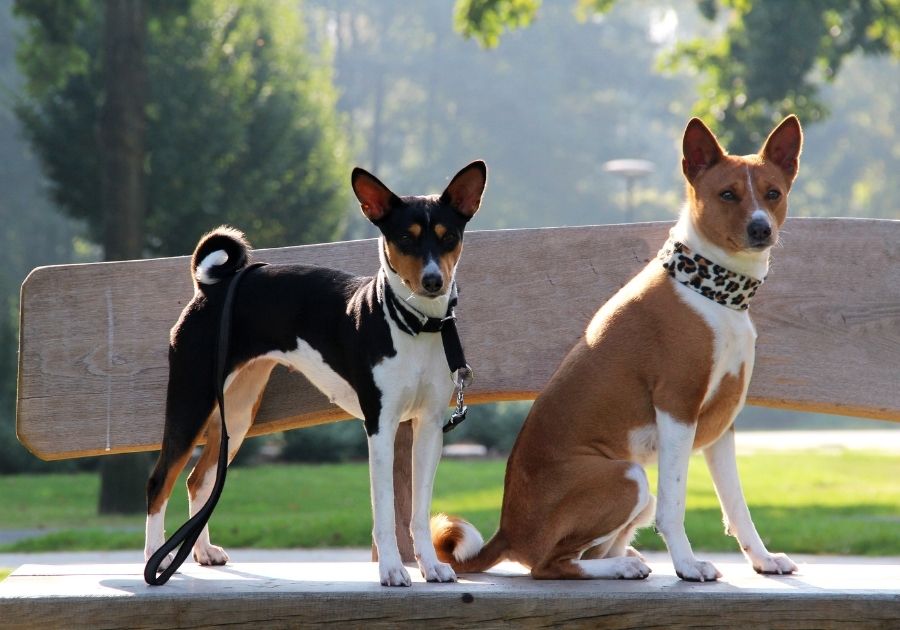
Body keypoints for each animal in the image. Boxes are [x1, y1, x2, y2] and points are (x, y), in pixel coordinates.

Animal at [145, 162, 488, 588]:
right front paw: (392, 570)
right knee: (160, 482)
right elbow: (385, 511)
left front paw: (430, 566)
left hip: (237, 413)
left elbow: (419, 514)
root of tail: (212, 287)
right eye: (405, 238)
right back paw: (154, 559)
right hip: (191, 401)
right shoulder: (381, 426)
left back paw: (203, 551)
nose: (432, 281)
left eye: (449, 237)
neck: (414, 326)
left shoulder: (427, 427)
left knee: (200, 480)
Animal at [432, 117, 804, 584]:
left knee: (590, 551)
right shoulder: (678, 407)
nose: (760, 228)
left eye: (772, 193)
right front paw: (686, 565)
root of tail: (507, 531)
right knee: (550, 565)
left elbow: (737, 506)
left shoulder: (722, 424)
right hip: (628, 477)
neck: (712, 293)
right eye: (727, 194)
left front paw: (763, 559)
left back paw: (628, 560)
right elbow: (674, 506)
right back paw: (621, 566)